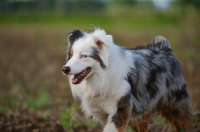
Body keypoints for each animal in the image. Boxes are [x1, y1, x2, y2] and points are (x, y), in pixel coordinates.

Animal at [61, 29, 191, 132]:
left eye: (84, 56)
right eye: (71, 55)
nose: (65, 69)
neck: (102, 77)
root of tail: (163, 48)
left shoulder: (120, 109)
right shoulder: (104, 113)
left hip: (176, 106)